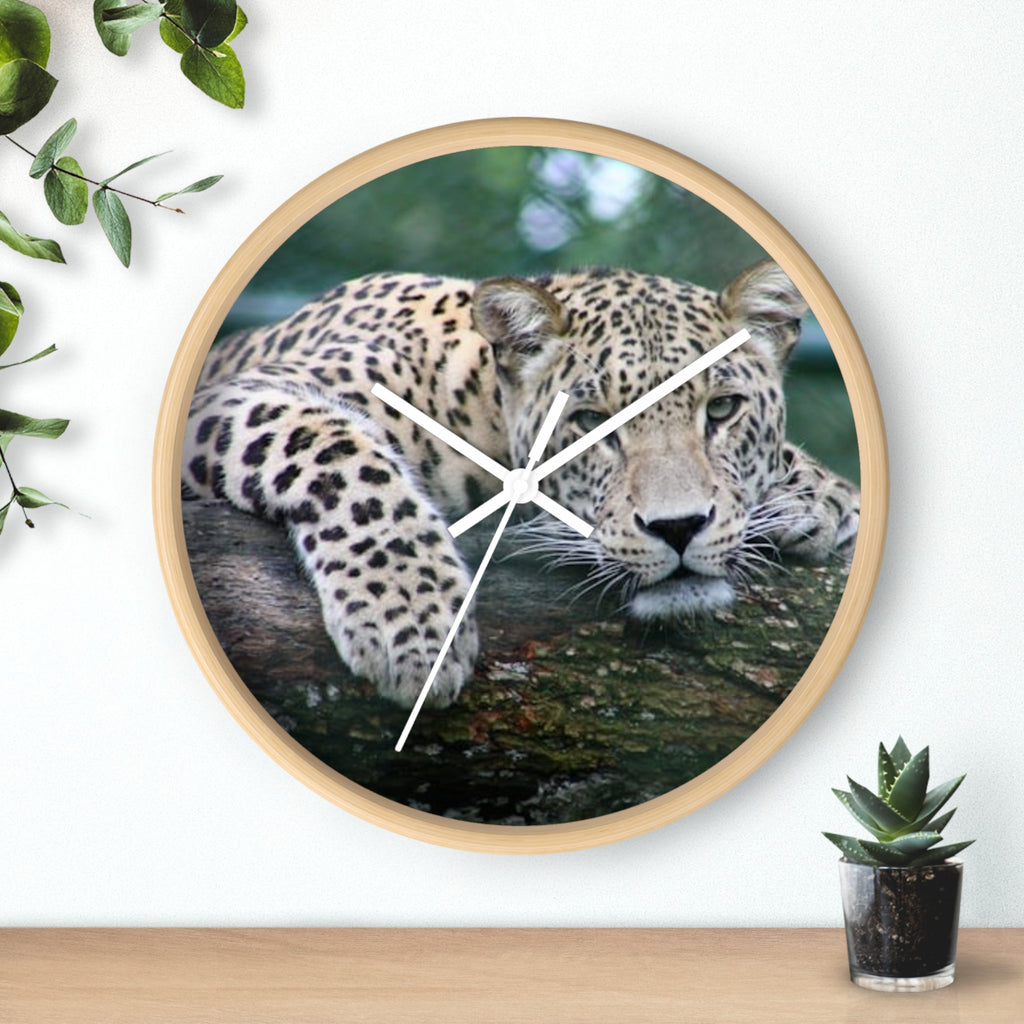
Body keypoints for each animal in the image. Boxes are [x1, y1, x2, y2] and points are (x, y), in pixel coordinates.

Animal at [182, 261, 859, 709]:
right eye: (590, 422)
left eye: (722, 410)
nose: (678, 527)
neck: (479, 406)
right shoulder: (236, 399)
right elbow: (346, 456)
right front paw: (413, 624)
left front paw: (820, 497)